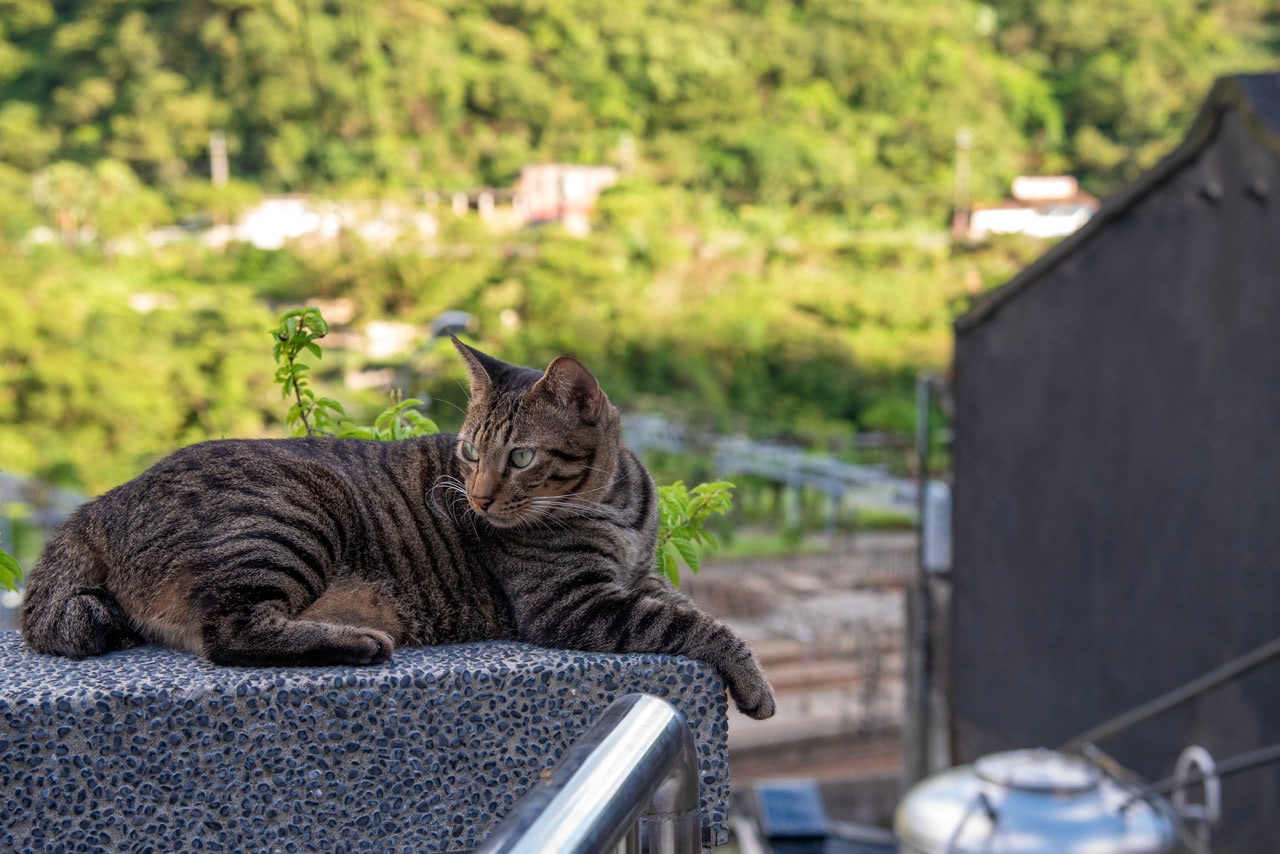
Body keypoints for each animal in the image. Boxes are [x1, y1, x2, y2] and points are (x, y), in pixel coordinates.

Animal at [22, 340, 778, 722]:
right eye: (471, 452)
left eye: (520, 457)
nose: (478, 497)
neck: (615, 506)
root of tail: (102, 502)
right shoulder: (573, 602)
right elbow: (699, 627)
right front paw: (752, 681)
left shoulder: (640, 576)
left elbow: (693, 610)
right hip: (294, 515)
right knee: (228, 633)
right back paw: (356, 641)